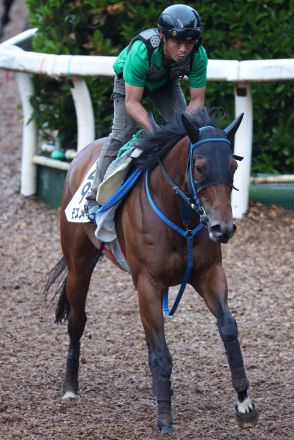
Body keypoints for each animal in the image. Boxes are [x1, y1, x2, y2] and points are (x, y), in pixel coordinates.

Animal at [43, 109, 258, 434]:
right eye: (199, 167)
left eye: (233, 166)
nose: (223, 228)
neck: (180, 216)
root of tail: (81, 155)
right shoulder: (147, 283)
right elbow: (161, 353)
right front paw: (165, 419)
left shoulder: (208, 274)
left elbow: (228, 328)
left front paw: (244, 403)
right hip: (78, 265)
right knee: (77, 321)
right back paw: (70, 388)